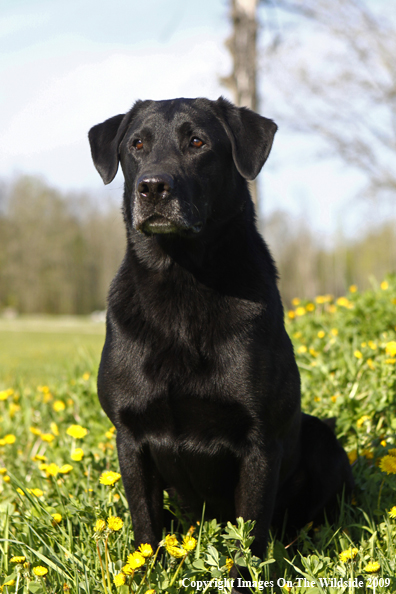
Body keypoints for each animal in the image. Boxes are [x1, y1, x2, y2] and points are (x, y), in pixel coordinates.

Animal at [89, 97, 352, 588]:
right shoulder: (130, 435)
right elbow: (145, 526)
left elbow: (249, 536)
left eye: (198, 142)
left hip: (322, 440)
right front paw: (146, 577)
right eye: (137, 145)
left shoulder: (259, 441)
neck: (182, 279)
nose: (153, 187)